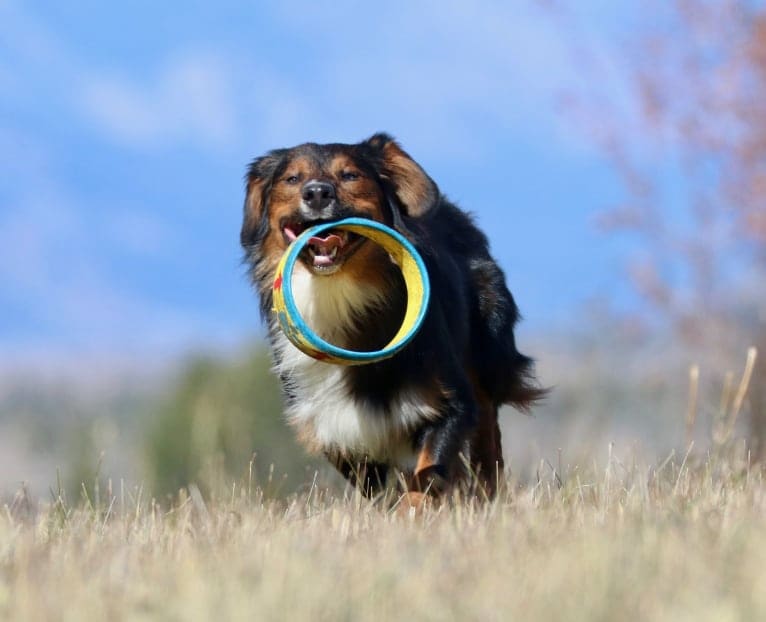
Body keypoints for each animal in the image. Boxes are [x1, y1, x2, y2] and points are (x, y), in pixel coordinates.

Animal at [242, 133, 544, 508]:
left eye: (350, 175)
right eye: (292, 179)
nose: (316, 193)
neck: (337, 291)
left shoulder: (449, 401)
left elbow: (428, 471)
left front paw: (416, 510)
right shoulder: (336, 425)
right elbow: (379, 487)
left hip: (488, 350)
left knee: (487, 426)